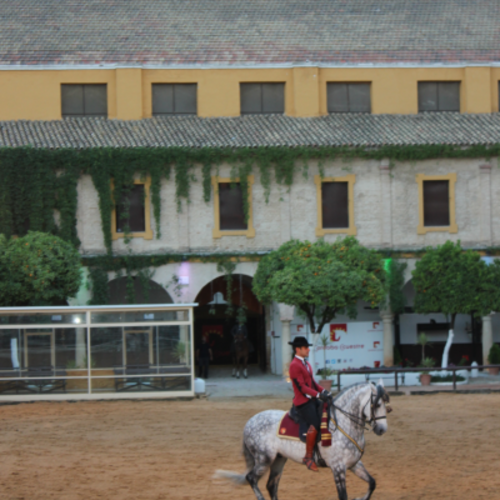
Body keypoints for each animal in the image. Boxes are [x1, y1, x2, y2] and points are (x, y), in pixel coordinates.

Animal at [215, 380, 390, 498]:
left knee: (271, 485)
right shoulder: (338, 468)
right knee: (251, 479)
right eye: (376, 404)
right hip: (264, 459)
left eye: (386, 405)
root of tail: (249, 423)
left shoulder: (354, 464)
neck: (343, 423)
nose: (382, 429)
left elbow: (372, 483)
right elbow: (343, 496)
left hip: (279, 459)